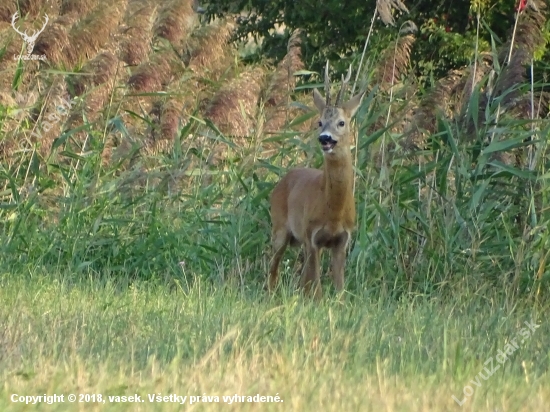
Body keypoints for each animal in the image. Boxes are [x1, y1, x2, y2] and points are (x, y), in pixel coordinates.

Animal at [268, 61, 364, 298]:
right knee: (273, 268)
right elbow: (318, 288)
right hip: (280, 228)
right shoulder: (312, 236)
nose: (325, 138)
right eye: (320, 122)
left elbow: (339, 288)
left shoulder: (342, 240)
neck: (334, 212)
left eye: (341, 122)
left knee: (302, 279)